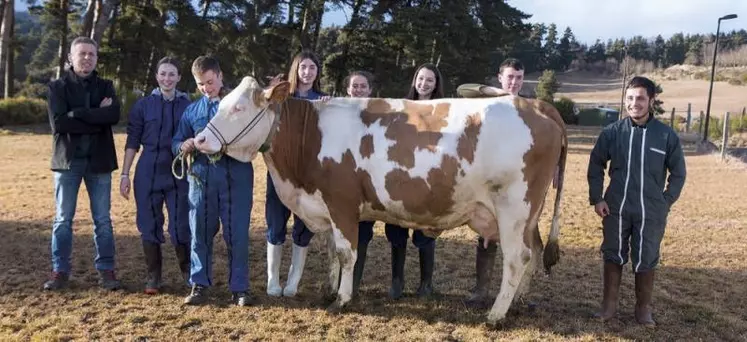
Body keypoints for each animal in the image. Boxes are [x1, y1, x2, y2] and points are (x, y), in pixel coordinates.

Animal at [193, 76, 568, 324]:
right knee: (533, 253)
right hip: (529, 215)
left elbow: (347, 252)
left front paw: (342, 300)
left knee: (517, 258)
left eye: (239, 107)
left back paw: (496, 314)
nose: (199, 140)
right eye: (221, 103)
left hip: (513, 208)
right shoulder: (326, 207)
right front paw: (330, 289)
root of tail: (533, 104)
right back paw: (517, 302)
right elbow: (332, 251)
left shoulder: (341, 202)